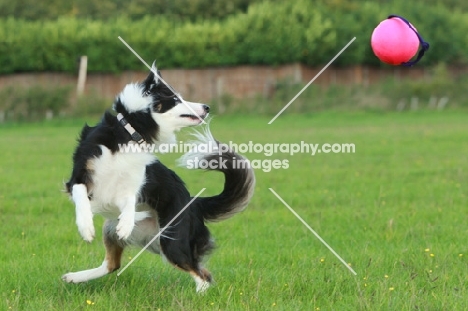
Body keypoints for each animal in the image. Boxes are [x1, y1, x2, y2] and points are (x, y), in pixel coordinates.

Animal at [62, 65, 256, 292]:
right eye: (176, 99)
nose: (206, 107)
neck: (129, 134)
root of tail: (193, 202)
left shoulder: (133, 184)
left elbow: (129, 201)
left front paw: (125, 224)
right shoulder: (79, 177)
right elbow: (81, 196)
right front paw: (85, 227)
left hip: (173, 242)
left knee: (202, 274)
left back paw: (198, 295)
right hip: (114, 228)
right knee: (112, 264)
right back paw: (74, 277)